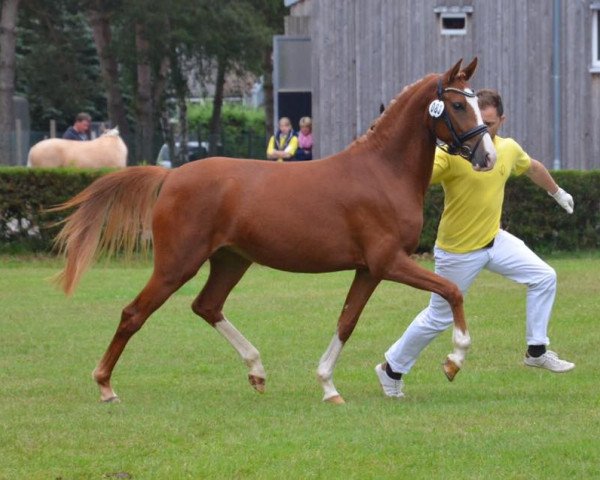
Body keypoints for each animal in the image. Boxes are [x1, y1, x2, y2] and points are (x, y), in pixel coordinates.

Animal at [52, 60, 496, 404]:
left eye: (476, 102)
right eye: (458, 104)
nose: (488, 157)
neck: (382, 172)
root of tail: (172, 175)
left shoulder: (369, 270)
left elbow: (346, 321)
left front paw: (328, 387)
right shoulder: (389, 262)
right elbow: (452, 291)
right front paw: (454, 361)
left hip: (231, 261)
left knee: (206, 306)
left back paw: (257, 371)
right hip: (177, 264)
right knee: (134, 313)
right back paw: (105, 386)